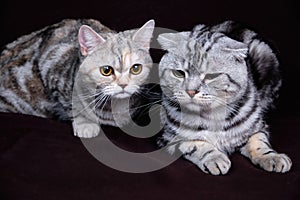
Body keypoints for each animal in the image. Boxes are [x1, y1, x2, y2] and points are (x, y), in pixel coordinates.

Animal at [0, 18, 155, 138]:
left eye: (136, 68)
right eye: (106, 70)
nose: (123, 84)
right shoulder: (52, 63)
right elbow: (71, 103)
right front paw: (85, 122)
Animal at [158, 20, 292, 175]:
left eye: (211, 76)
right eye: (179, 73)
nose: (191, 91)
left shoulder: (258, 126)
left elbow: (259, 141)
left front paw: (272, 157)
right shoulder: (168, 136)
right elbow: (195, 144)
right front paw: (214, 157)